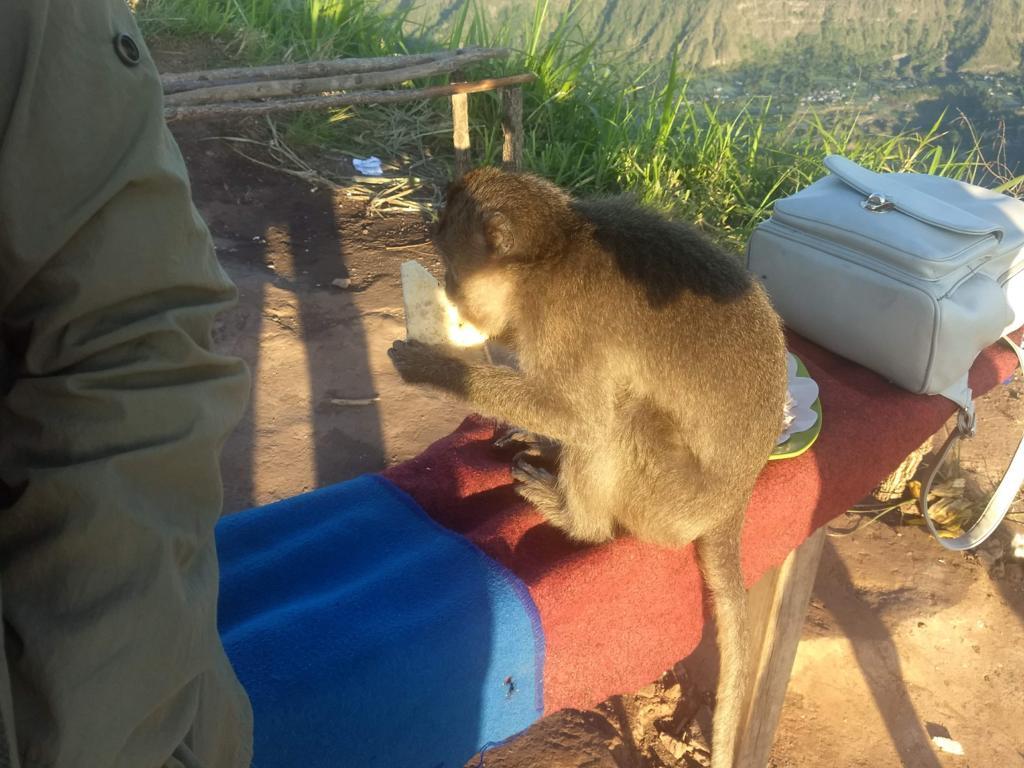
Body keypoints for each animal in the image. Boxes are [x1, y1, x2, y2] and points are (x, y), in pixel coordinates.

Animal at [387, 167, 786, 768]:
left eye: (454, 269)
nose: (453, 296)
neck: (553, 251)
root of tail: (734, 500)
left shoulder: (565, 322)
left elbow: (582, 417)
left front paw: (433, 366)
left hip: (669, 501)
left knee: (619, 416)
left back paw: (582, 522)